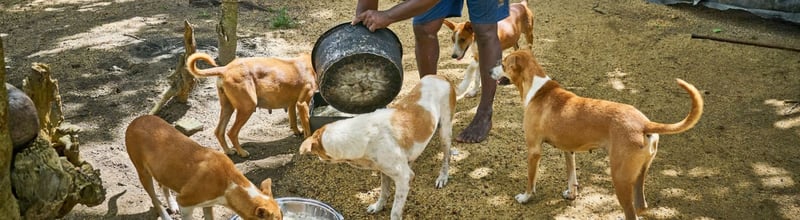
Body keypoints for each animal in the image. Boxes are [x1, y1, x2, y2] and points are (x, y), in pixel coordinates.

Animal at [124, 115, 282, 220]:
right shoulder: (185, 203)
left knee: (163, 185)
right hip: (143, 173)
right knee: (154, 199)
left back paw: (172, 205)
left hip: (162, 170)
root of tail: (135, 121)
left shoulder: (208, 204)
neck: (229, 183)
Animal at [187, 52, 316, 157]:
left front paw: (297, 132)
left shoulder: (292, 103)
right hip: (247, 108)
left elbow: (293, 119)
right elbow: (307, 124)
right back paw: (242, 152)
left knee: (219, 131)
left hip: (228, 108)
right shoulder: (302, 103)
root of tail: (226, 69)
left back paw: (229, 151)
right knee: (231, 132)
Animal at [298, 75, 456, 219]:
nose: (319, 159)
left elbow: (395, 211)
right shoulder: (384, 171)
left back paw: (442, 177)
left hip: (445, 132)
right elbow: (384, 192)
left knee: (446, 158)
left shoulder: (403, 178)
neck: (364, 136)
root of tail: (443, 77)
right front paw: (378, 206)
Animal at [496, 50, 704, 220]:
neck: (538, 89)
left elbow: (531, 181)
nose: (490, 70)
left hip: (619, 178)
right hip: (638, 176)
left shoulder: (534, 151)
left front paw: (525, 197)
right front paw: (571, 195)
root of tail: (645, 123)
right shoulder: (568, 150)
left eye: (503, 64)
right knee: (641, 207)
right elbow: (572, 178)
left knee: (631, 213)